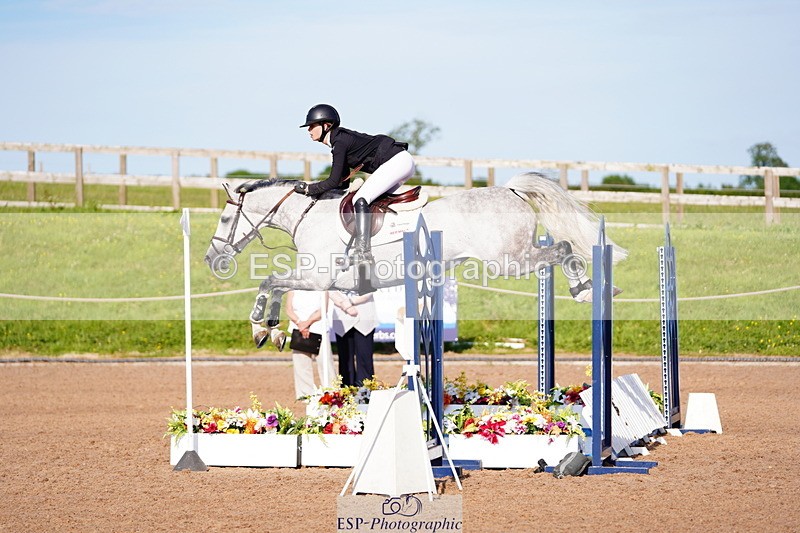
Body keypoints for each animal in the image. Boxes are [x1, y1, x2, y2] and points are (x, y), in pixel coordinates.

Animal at [205, 171, 627, 349]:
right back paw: (593, 288)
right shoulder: (318, 281)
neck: (307, 215)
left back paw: (586, 290)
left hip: (508, 260)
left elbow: (268, 282)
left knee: (563, 249)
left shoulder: (317, 279)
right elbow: (275, 286)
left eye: (225, 219)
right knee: (562, 249)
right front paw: (273, 332)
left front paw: (259, 328)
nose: (212, 260)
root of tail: (510, 189)